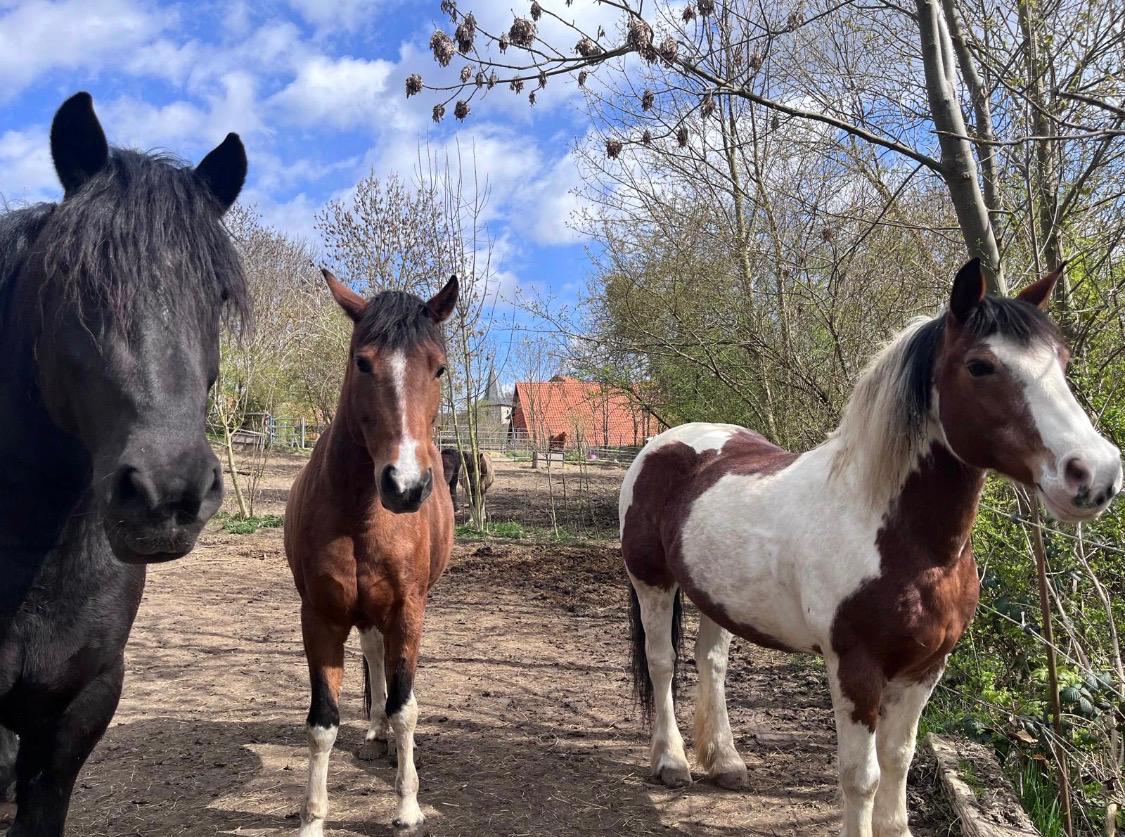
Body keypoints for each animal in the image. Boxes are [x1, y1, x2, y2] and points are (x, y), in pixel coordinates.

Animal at [284, 268, 458, 836]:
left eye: (438, 367)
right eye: (362, 361)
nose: (404, 486)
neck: (362, 514)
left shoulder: (408, 611)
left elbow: (407, 707)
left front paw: (407, 807)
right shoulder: (320, 617)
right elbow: (322, 722)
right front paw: (312, 819)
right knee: (373, 653)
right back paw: (375, 731)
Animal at [620, 260, 1122, 837]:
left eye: (1061, 361)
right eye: (980, 366)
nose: (1096, 474)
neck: (905, 542)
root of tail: (667, 442)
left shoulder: (926, 667)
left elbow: (899, 759)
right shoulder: (855, 668)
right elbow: (862, 776)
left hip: (717, 597)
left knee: (712, 662)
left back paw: (725, 761)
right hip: (651, 580)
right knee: (662, 662)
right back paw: (671, 761)